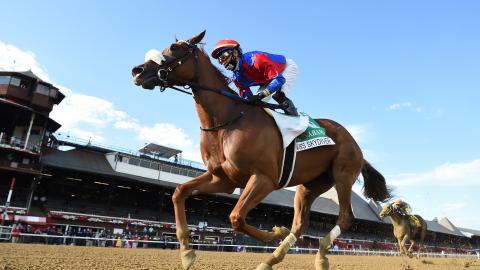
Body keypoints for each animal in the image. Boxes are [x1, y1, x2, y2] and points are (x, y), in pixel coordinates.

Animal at [131, 31, 390, 270]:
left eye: (174, 48)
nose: (137, 71)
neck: (227, 121)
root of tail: (354, 142)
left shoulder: (264, 178)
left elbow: (236, 217)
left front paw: (275, 231)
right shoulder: (223, 179)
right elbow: (179, 192)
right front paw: (186, 251)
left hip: (342, 175)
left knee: (345, 217)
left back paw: (319, 255)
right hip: (310, 185)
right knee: (300, 223)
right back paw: (273, 259)